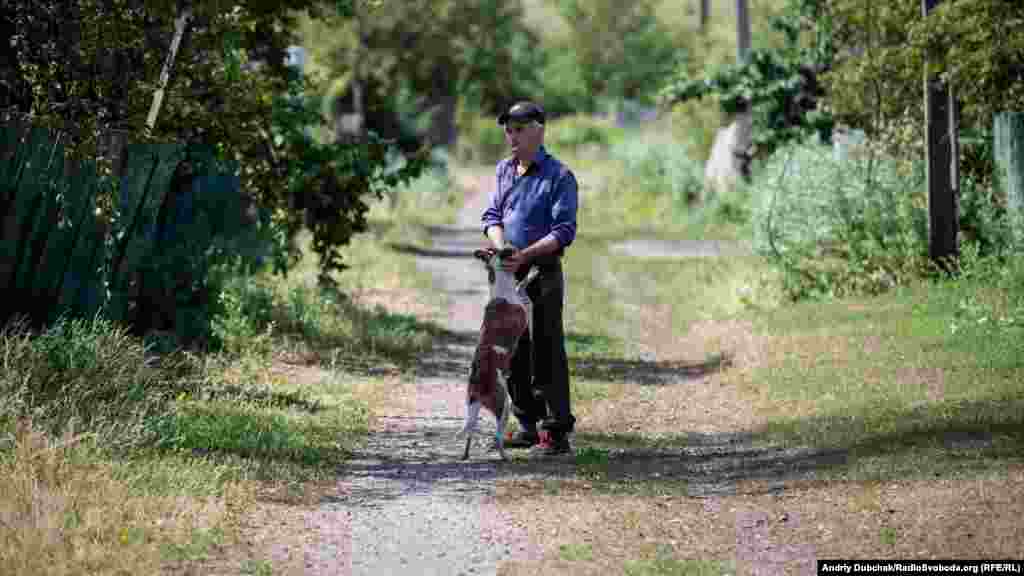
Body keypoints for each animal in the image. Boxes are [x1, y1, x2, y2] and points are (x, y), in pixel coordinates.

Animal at [456, 243, 536, 459]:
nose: (513, 245)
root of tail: (478, 387)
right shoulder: (525, 308)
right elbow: (523, 287)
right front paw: (533, 273)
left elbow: (520, 286)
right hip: (504, 406)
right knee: (498, 435)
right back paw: (504, 456)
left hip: (472, 407)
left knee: (470, 430)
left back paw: (466, 454)